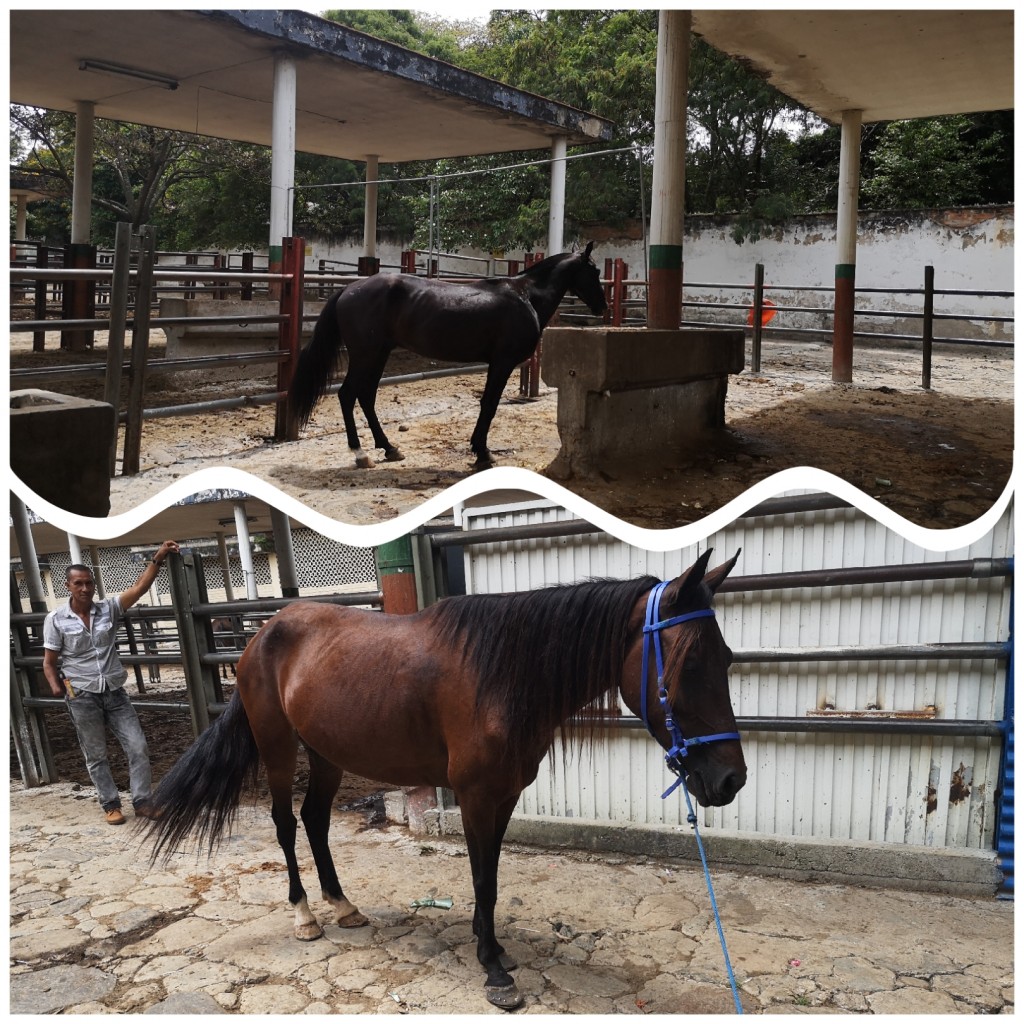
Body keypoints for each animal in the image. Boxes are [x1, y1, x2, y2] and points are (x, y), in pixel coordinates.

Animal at [142, 549, 745, 1010]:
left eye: (728, 658)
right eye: (689, 666)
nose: (731, 780)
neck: (500, 675)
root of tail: (262, 632)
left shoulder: (504, 796)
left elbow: (492, 877)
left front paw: (492, 947)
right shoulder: (477, 797)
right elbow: (481, 879)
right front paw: (494, 972)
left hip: (327, 752)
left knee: (315, 821)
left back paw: (343, 906)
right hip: (277, 748)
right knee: (286, 825)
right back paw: (305, 915)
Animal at [288, 243, 607, 469]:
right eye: (594, 272)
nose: (602, 307)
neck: (525, 296)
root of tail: (349, 290)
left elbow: (488, 404)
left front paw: (479, 449)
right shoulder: (502, 363)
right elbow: (489, 405)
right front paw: (482, 453)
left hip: (378, 355)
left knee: (365, 396)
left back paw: (389, 448)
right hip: (365, 355)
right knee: (347, 395)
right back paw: (360, 453)